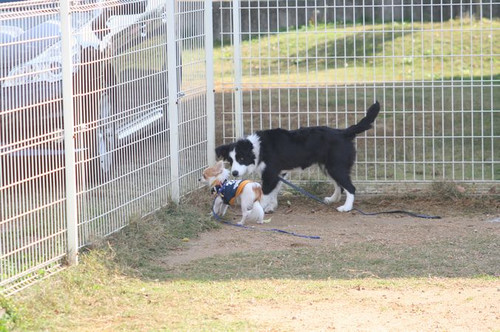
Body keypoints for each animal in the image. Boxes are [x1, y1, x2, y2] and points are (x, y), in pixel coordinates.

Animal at [214, 100, 378, 213]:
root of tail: (343, 132)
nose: (235, 173)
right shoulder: (279, 174)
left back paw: (346, 207)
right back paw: (333, 199)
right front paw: (271, 207)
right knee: (339, 185)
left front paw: (260, 209)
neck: (259, 148)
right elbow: (274, 192)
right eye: (230, 160)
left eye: (241, 158)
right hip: (329, 167)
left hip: (336, 166)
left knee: (350, 187)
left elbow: (265, 193)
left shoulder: (270, 174)